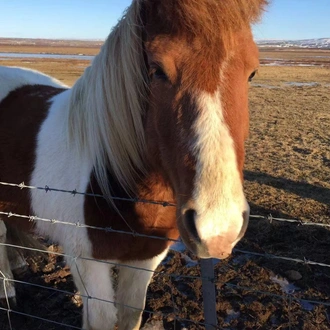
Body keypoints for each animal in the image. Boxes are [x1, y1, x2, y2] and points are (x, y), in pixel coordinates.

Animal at [0, 1, 268, 328]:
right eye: (157, 70)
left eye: (252, 72)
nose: (218, 229)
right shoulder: (86, 261)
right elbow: (103, 320)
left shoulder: (147, 258)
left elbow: (131, 313)